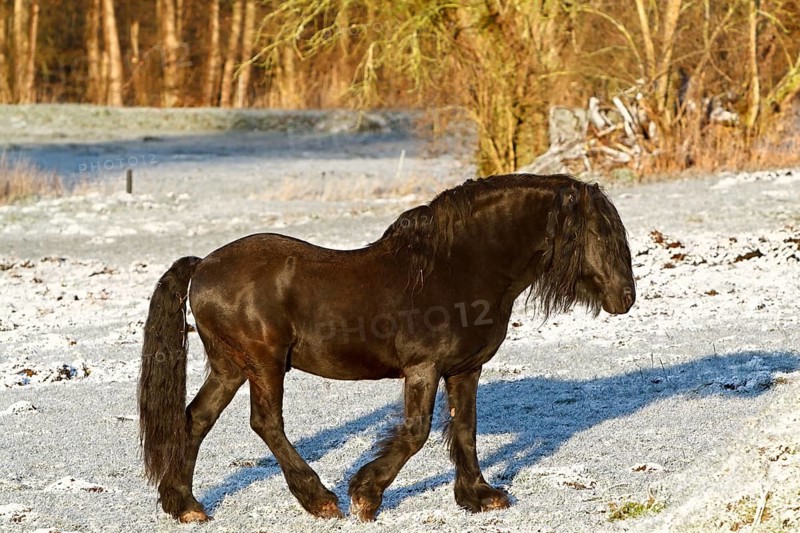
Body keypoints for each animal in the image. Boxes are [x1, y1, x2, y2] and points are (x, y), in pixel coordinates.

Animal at [138, 173, 635, 523]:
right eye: (599, 234)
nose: (626, 297)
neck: (458, 267)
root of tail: (203, 265)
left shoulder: (464, 369)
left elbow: (466, 428)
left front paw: (479, 496)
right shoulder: (423, 368)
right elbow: (416, 431)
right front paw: (366, 495)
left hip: (231, 366)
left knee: (194, 420)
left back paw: (185, 505)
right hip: (264, 364)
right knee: (265, 424)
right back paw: (320, 500)